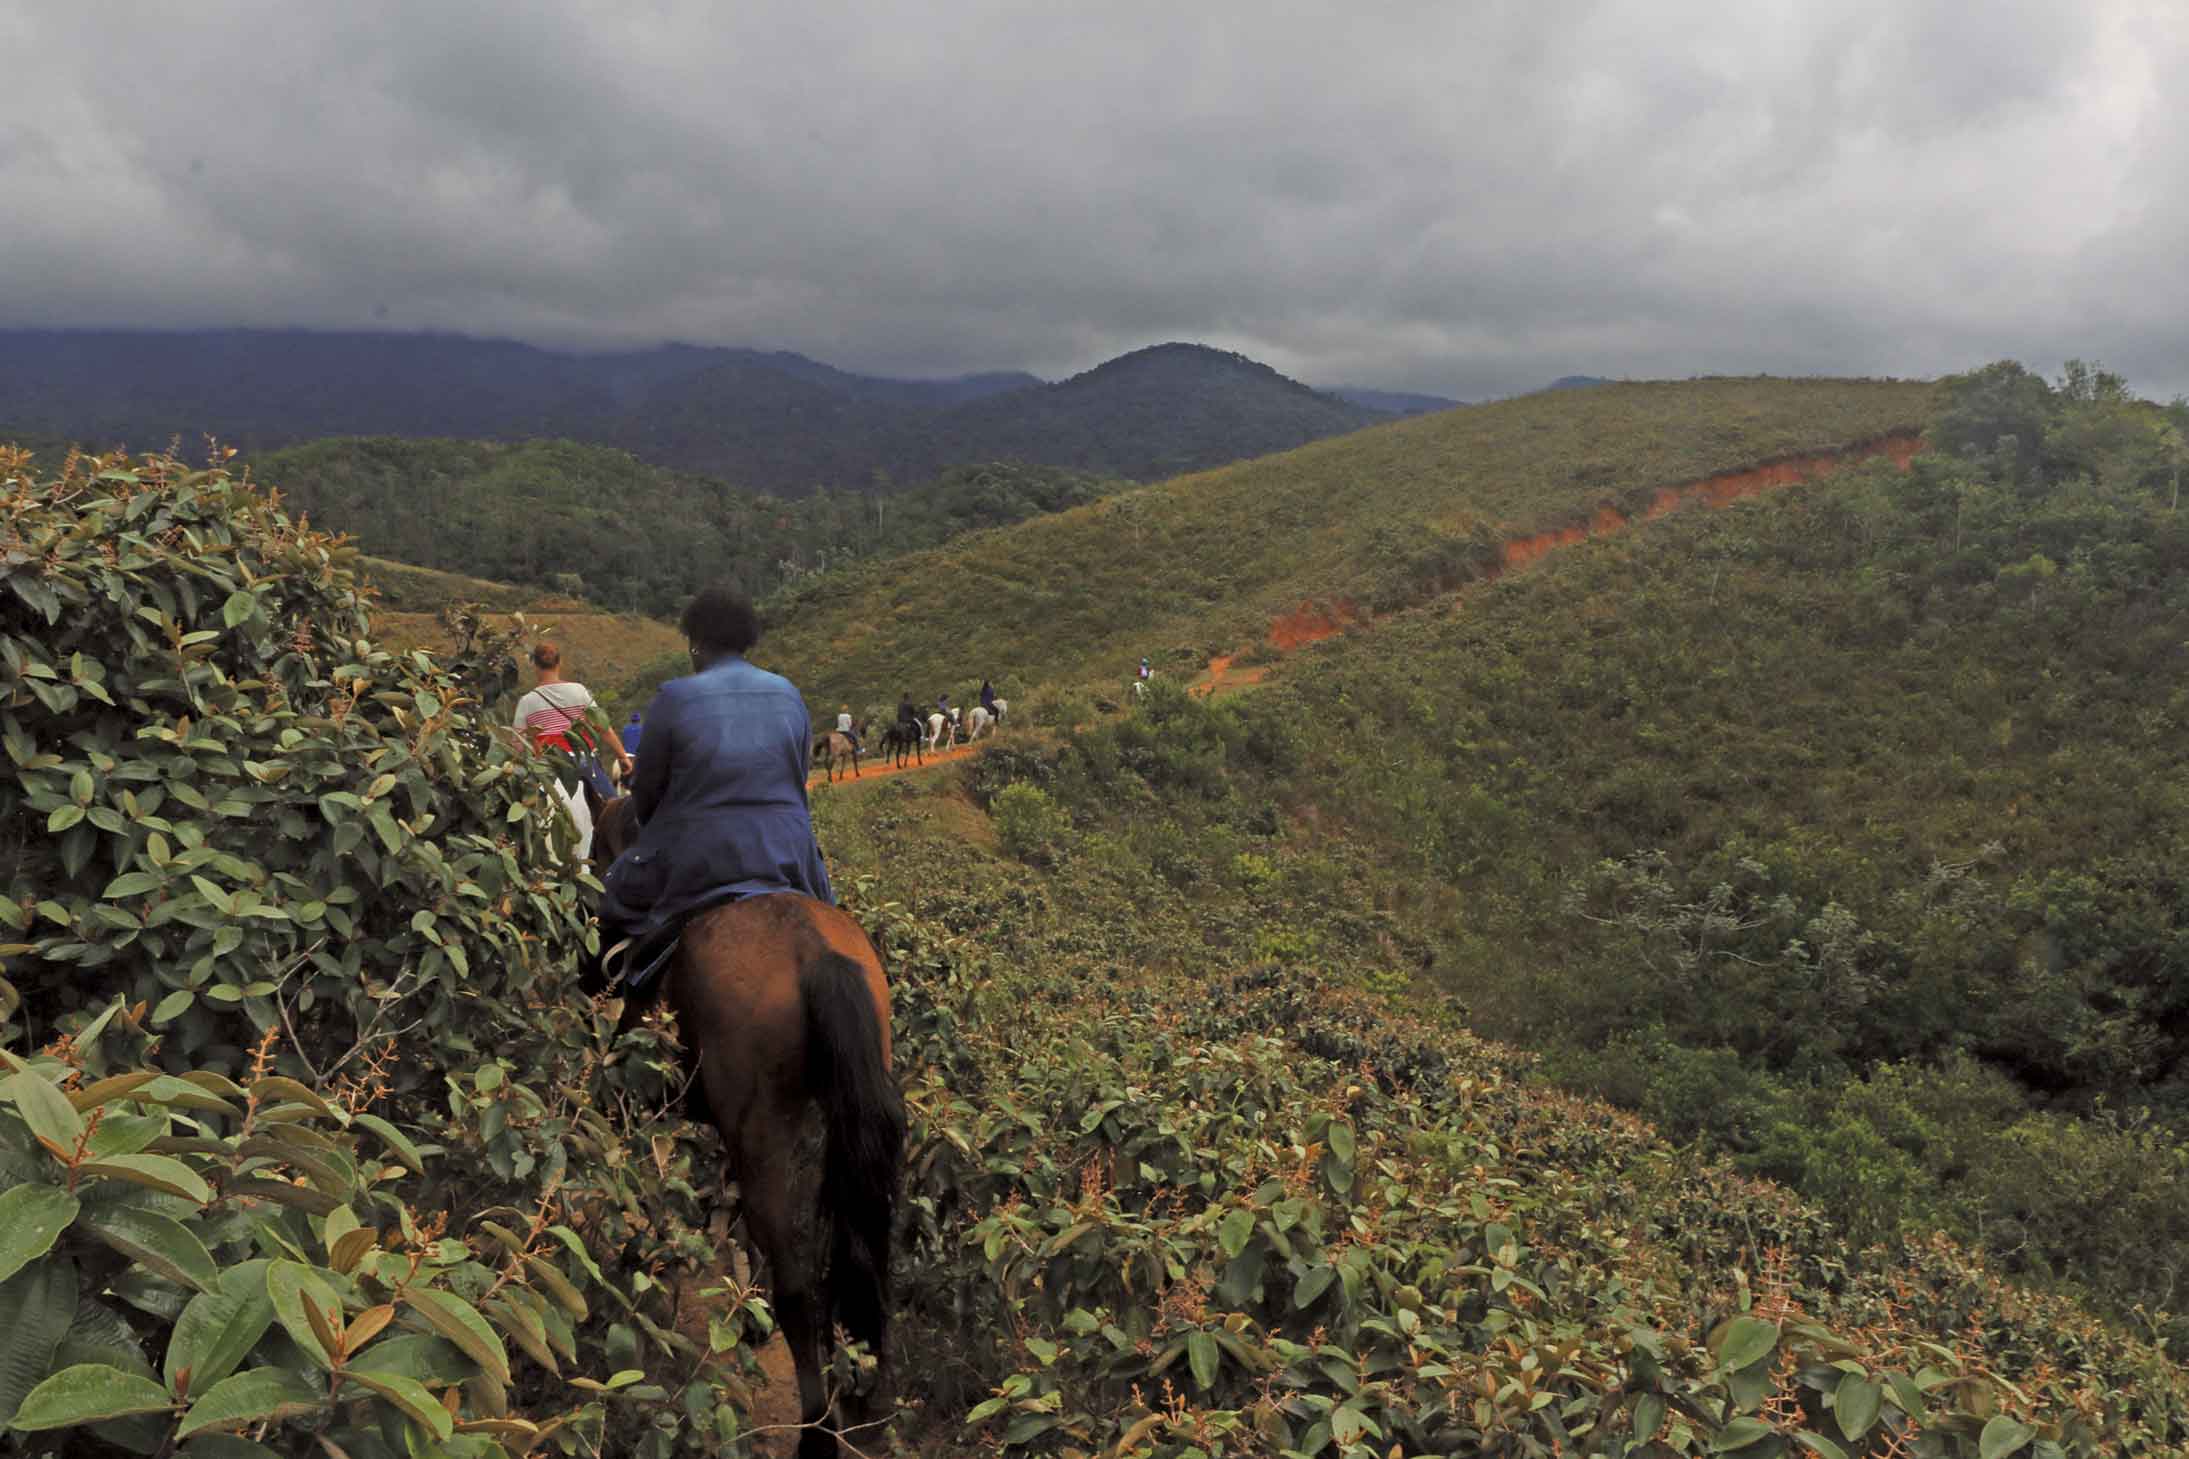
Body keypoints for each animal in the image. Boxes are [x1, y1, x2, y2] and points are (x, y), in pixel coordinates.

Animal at [582, 800, 897, 1459]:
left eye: (600, 847)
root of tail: (813, 954)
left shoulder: (648, 1094)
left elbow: (644, 1179)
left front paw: (637, 1260)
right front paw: (745, 1308)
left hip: (766, 1136)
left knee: (799, 1286)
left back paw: (817, 1432)